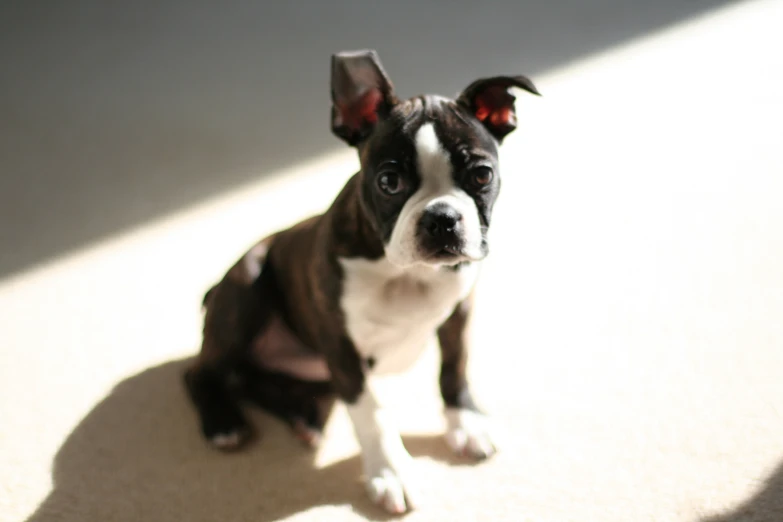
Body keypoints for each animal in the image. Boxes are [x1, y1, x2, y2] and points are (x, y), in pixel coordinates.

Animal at [184, 48, 540, 512]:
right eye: (389, 181)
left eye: (482, 175)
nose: (442, 218)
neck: (406, 271)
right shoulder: (342, 346)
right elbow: (372, 413)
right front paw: (392, 472)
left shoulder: (457, 314)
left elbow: (454, 369)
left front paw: (466, 424)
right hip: (249, 287)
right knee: (202, 373)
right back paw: (224, 423)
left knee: (252, 378)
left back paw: (303, 416)